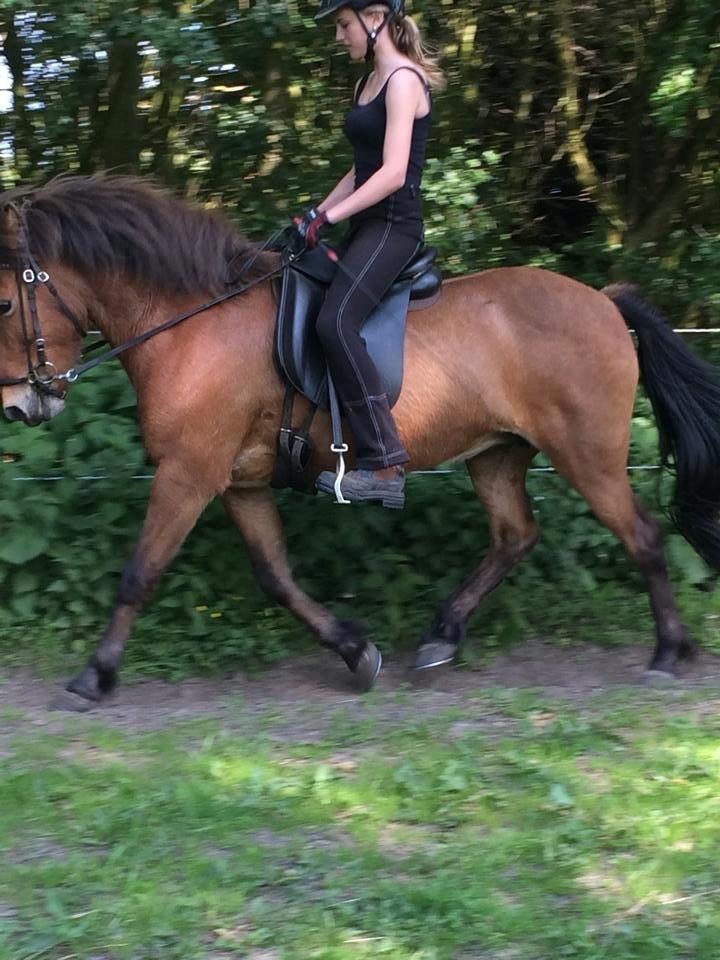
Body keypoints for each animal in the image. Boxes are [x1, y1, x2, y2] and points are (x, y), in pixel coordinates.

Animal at [1, 176, 720, 708]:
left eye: (5, 304)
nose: (18, 404)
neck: (191, 322)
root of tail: (603, 301)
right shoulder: (237, 480)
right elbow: (276, 575)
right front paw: (353, 649)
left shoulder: (188, 474)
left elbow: (139, 573)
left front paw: (94, 676)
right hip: (496, 453)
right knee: (515, 536)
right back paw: (441, 637)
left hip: (586, 455)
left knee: (642, 536)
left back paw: (667, 652)